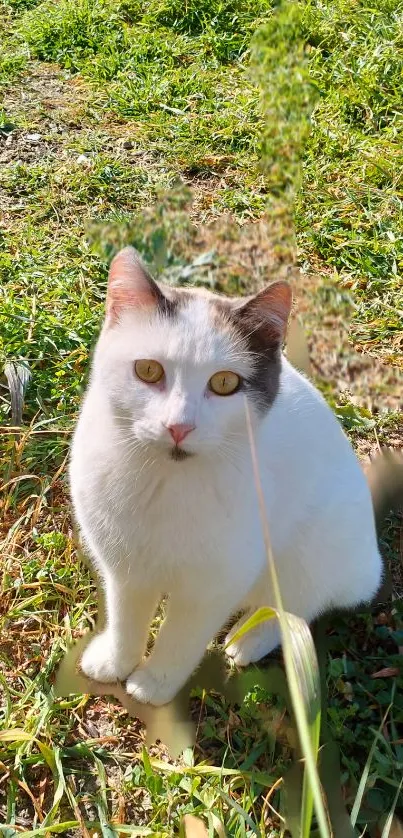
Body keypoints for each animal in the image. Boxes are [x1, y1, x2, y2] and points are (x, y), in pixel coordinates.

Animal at [70, 246, 386, 704]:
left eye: (224, 383)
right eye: (148, 371)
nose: (178, 426)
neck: (166, 483)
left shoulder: (215, 584)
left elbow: (181, 637)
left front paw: (155, 682)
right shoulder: (126, 566)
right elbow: (127, 616)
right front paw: (116, 662)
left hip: (313, 552)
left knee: (297, 606)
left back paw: (249, 639)